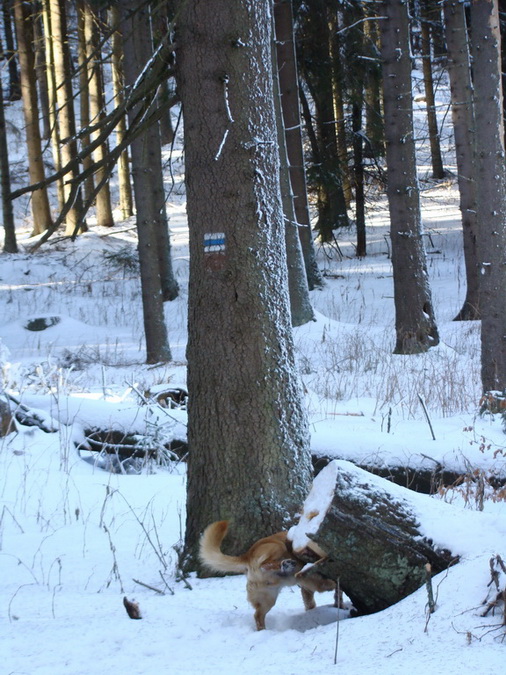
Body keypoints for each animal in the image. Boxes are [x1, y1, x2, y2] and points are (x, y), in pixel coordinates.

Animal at [199, 520, 336, 632]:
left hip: (268, 598)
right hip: (277, 546)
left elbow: (312, 602)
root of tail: (246, 556)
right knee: (264, 564)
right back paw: (285, 564)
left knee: (258, 615)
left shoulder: (308, 587)